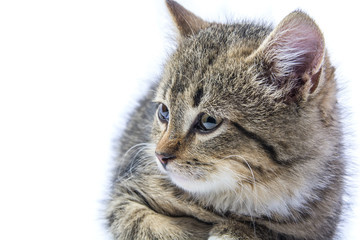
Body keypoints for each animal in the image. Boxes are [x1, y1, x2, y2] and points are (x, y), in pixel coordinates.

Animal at [105, 0, 344, 239]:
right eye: (164, 112)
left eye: (208, 121)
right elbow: (143, 223)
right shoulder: (124, 196)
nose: (160, 156)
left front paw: (235, 230)